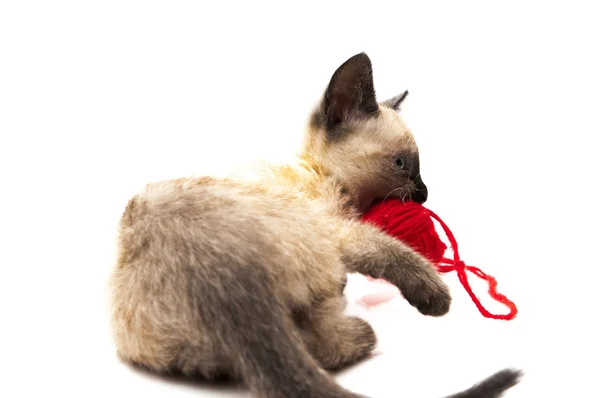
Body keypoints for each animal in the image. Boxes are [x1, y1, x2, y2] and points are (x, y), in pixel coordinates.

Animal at [110, 53, 524, 398]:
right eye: (402, 164)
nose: (424, 194)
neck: (319, 173)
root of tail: (219, 276)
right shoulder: (340, 232)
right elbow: (391, 250)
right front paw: (437, 298)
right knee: (330, 345)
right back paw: (362, 331)